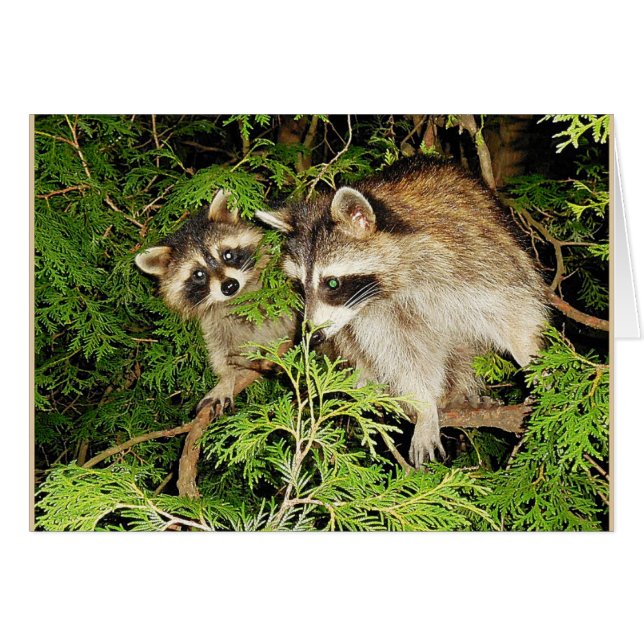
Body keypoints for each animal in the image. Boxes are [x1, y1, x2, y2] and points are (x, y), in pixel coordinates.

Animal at [135, 190, 295, 416]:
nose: (229, 286)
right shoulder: (213, 321)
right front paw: (226, 377)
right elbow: (220, 348)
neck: (238, 297)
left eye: (227, 254)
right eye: (198, 274)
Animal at [256, 157, 547, 467]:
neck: (393, 285)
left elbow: (512, 309)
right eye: (300, 285)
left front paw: (532, 360)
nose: (313, 337)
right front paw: (425, 404)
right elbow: (404, 354)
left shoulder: (472, 257)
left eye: (332, 283)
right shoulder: (376, 315)